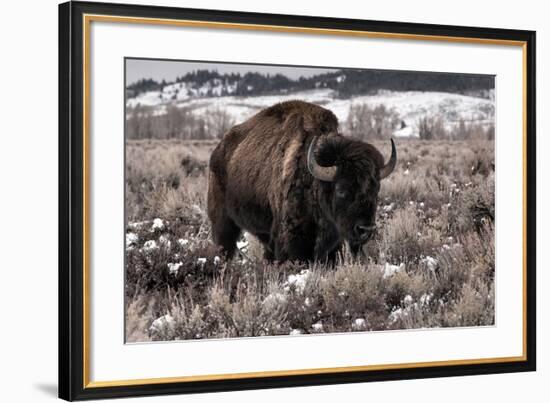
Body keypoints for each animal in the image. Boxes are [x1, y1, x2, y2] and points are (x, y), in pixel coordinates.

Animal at [207, 101, 396, 262]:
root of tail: (219, 150)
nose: (366, 230)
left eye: (376, 189)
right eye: (341, 189)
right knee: (225, 244)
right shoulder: (292, 237)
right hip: (223, 221)